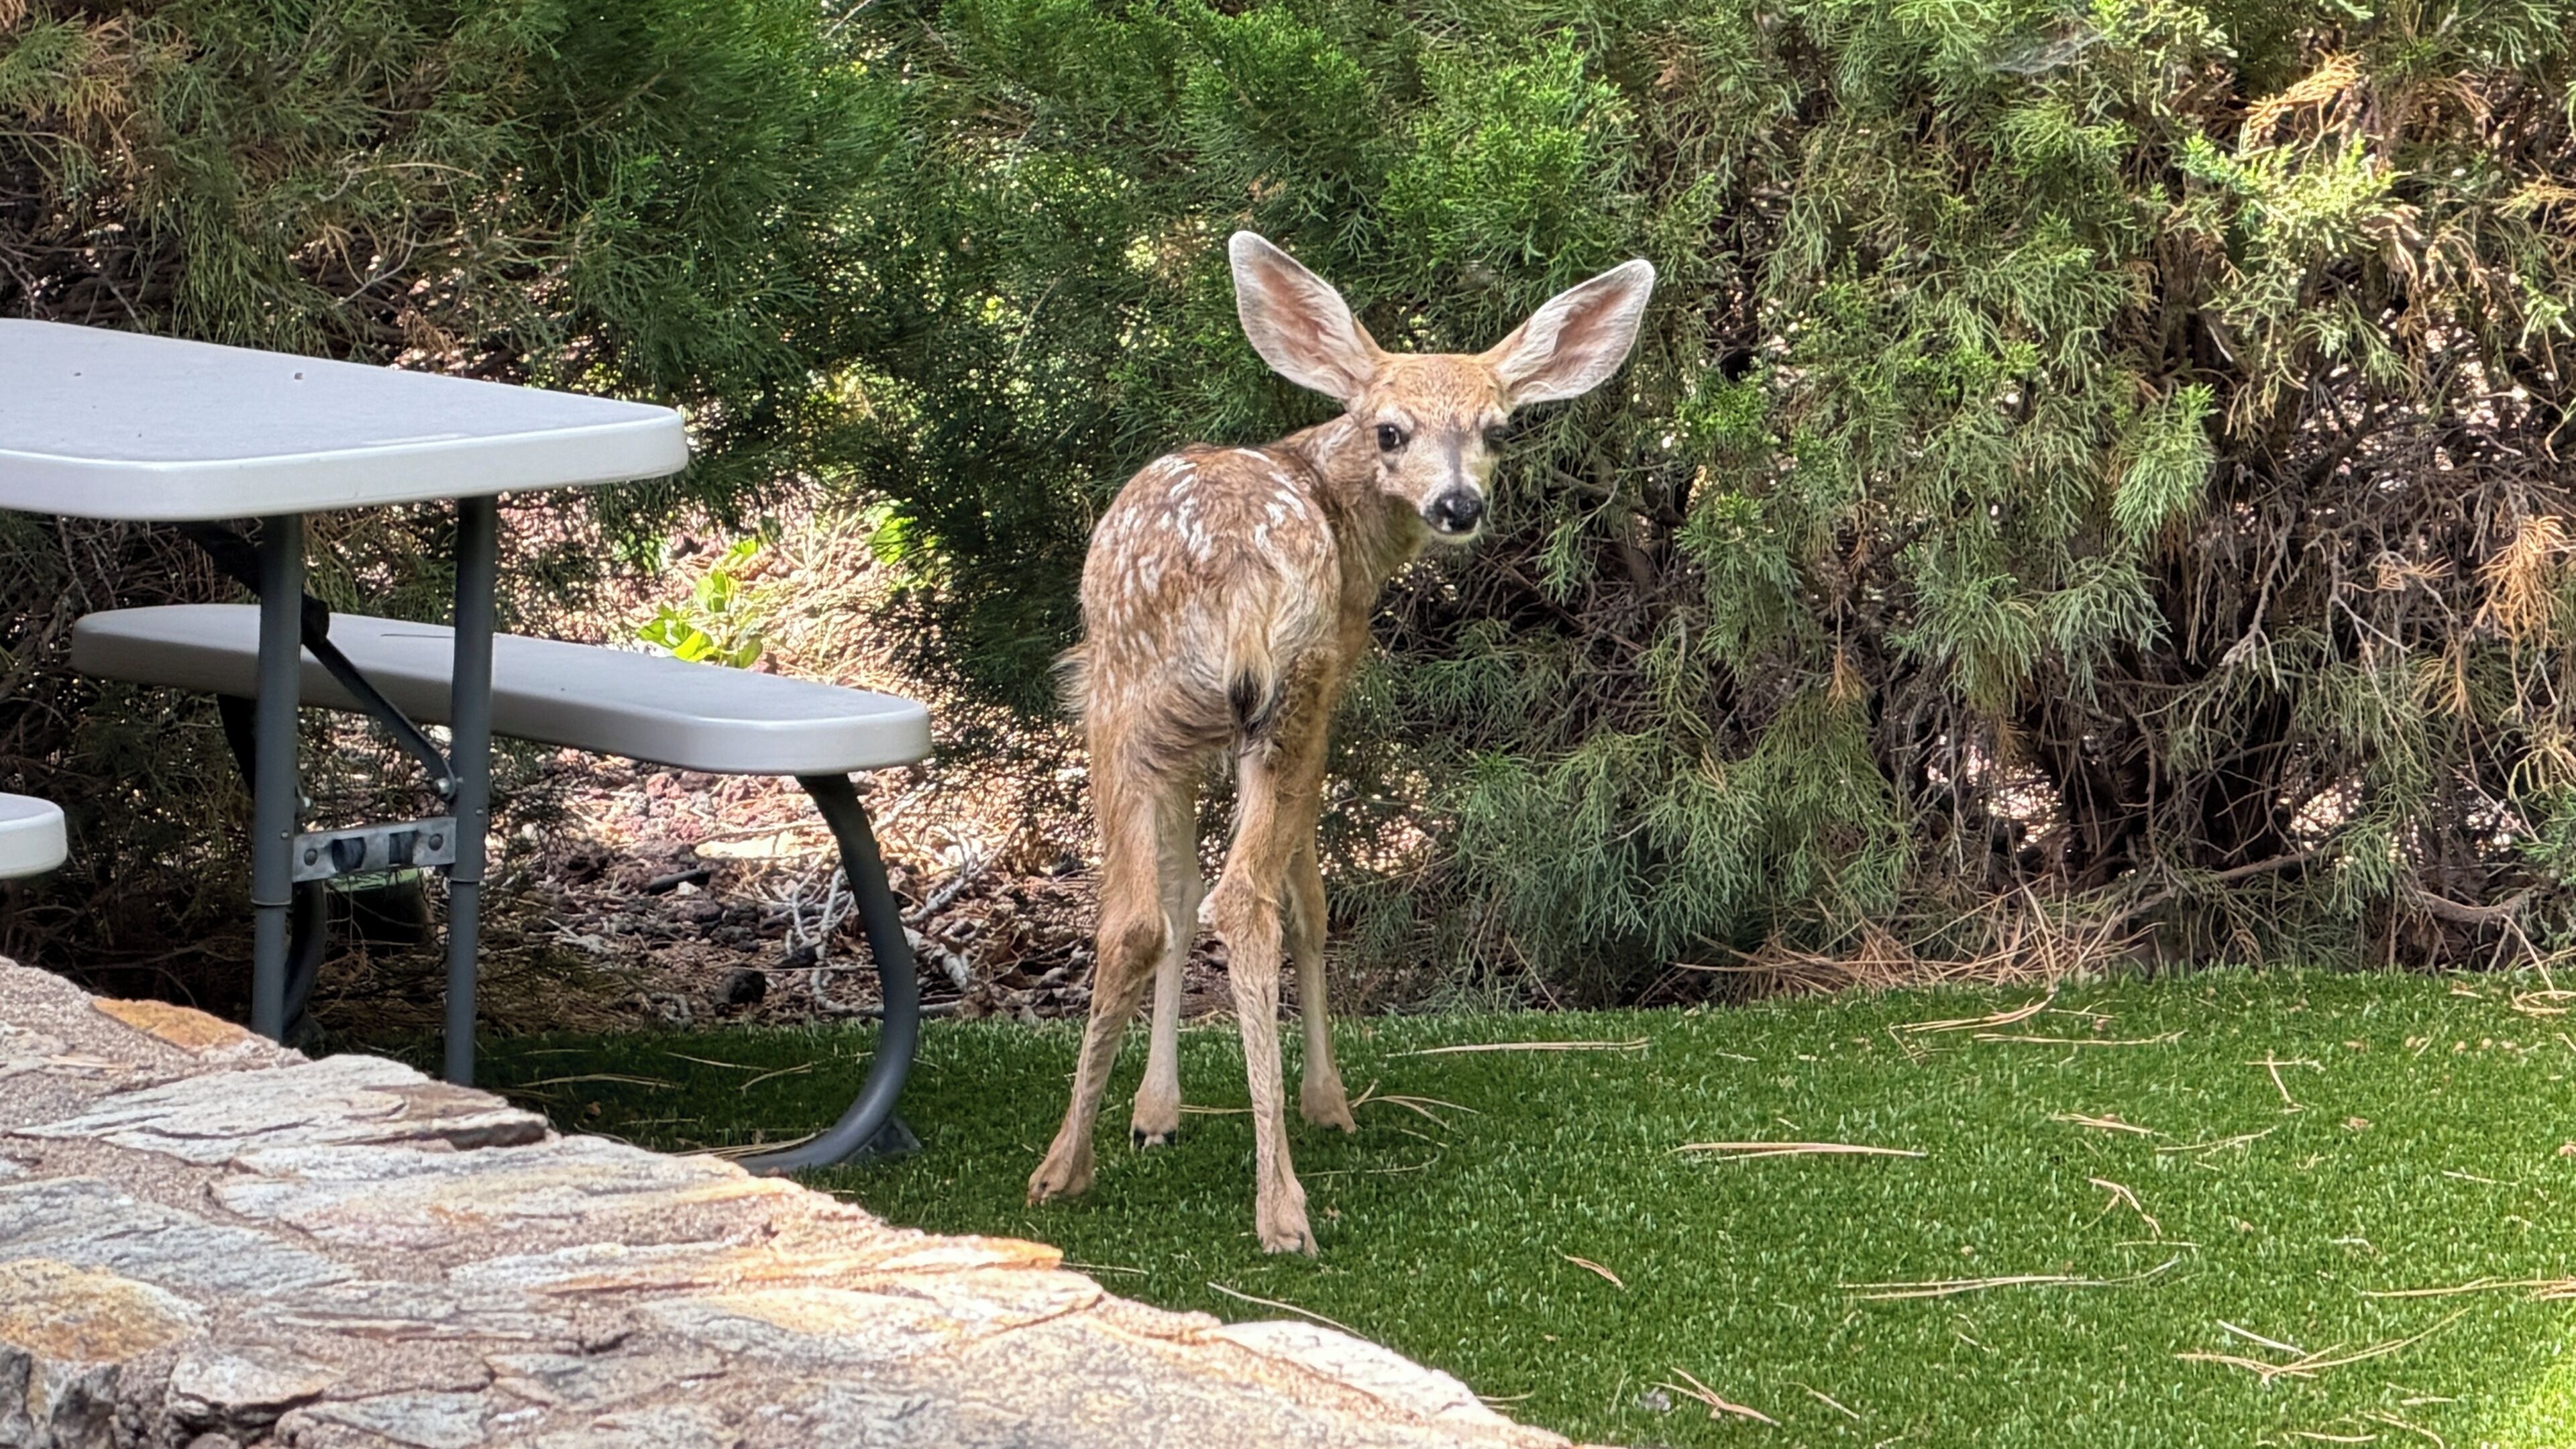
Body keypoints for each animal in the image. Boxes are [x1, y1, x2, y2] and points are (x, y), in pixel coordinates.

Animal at [1028, 233, 1655, 1254]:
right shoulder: (1324, 700)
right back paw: (1283, 1199)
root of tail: (1239, 576)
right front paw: (1323, 1101)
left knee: (1137, 916)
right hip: (1280, 693)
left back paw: (1063, 1167)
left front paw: (1156, 1113)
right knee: (1249, 901)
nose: (1458, 505)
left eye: (1499, 430)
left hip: (1129, 705)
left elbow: (1175, 894)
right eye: (1390, 431)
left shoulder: (1188, 745)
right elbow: (1311, 902)